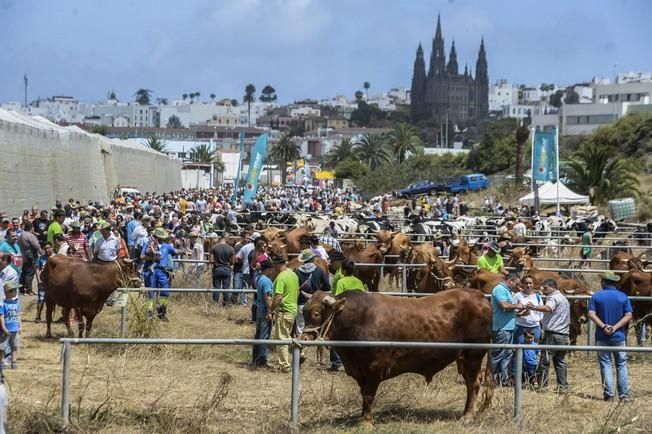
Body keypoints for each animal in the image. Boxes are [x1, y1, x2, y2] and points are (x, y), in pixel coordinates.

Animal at [304, 290, 492, 422]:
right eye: (304, 311)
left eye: (316, 313)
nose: (304, 337)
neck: (357, 319)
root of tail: (479, 296)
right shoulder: (359, 371)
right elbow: (363, 393)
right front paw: (362, 416)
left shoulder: (375, 368)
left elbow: (368, 395)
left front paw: (367, 421)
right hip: (465, 359)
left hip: (474, 355)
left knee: (473, 383)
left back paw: (468, 416)